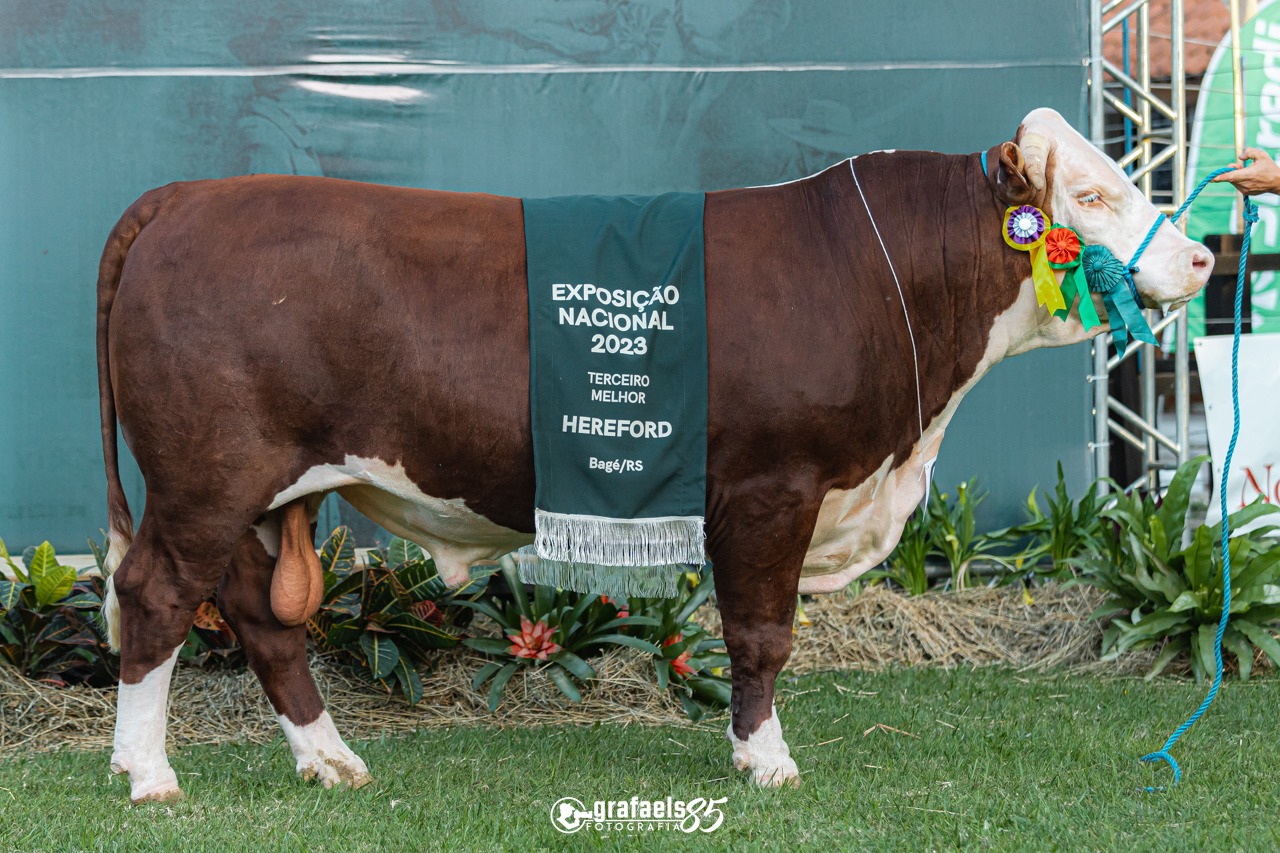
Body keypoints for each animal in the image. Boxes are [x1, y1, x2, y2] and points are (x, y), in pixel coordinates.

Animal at [97, 109, 1208, 799]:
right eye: (1092, 197)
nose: (1200, 256)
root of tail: (187, 195)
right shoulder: (771, 486)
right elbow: (761, 635)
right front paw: (765, 761)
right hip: (204, 475)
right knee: (155, 595)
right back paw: (148, 774)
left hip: (263, 490)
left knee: (260, 617)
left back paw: (328, 761)